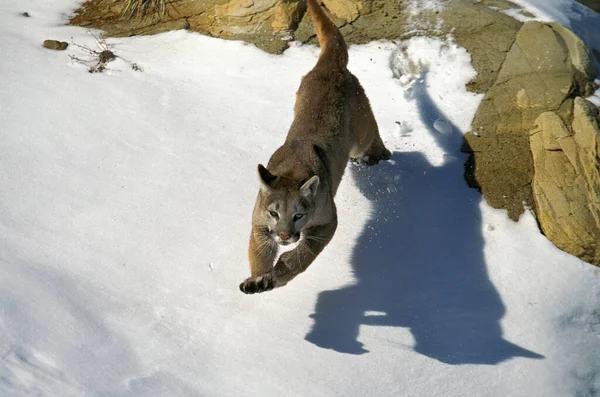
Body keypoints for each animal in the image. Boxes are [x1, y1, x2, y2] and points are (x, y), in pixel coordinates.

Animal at [239, 0, 390, 292]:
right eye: (274, 213)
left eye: (298, 215)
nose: (284, 235)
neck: (292, 169)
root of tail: (330, 66)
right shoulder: (259, 223)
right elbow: (258, 252)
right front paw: (258, 278)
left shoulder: (328, 222)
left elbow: (303, 255)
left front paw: (281, 273)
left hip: (360, 133)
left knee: (372, 133)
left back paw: (379, 154)